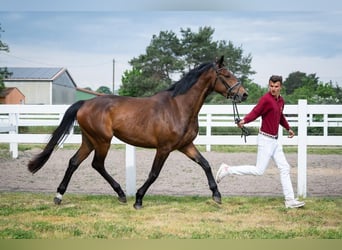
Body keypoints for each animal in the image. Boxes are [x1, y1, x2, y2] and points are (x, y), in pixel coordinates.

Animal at [28, 55, 248, 209]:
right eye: (227, 75)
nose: (244, 94)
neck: (178, 107)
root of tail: (85, 103)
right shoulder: (164, 148)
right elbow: (154, 173)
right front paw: (139, 199)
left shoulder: (186, 145)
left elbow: (205, 164)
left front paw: (217, 195)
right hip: (102, 141)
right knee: (97, 164)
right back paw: (122, 195)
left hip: (89, 140)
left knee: (74, 162)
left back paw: (59, 196)